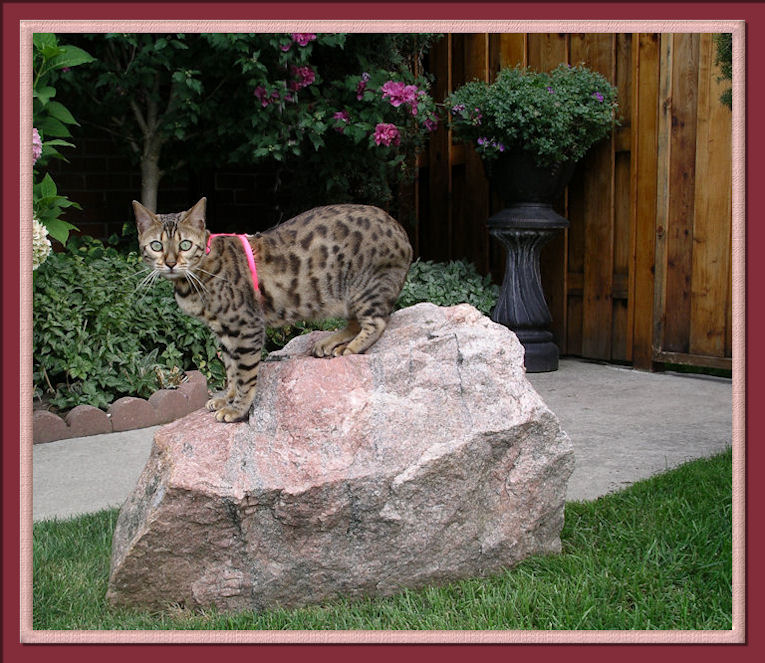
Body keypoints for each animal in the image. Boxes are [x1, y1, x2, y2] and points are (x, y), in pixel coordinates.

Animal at [134, 197, 414, 422]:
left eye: (185, 245)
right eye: (157, 246)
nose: (170, 263)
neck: (195, 277)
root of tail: (402, 232)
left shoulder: (246, 327)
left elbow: (245, 374)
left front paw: (237, 410)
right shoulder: (224, 332)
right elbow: (231, 370)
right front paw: (227, 397)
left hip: (364, 288)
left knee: (377, 322)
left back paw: (351, 347)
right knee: (355, 322)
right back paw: (330, 342)